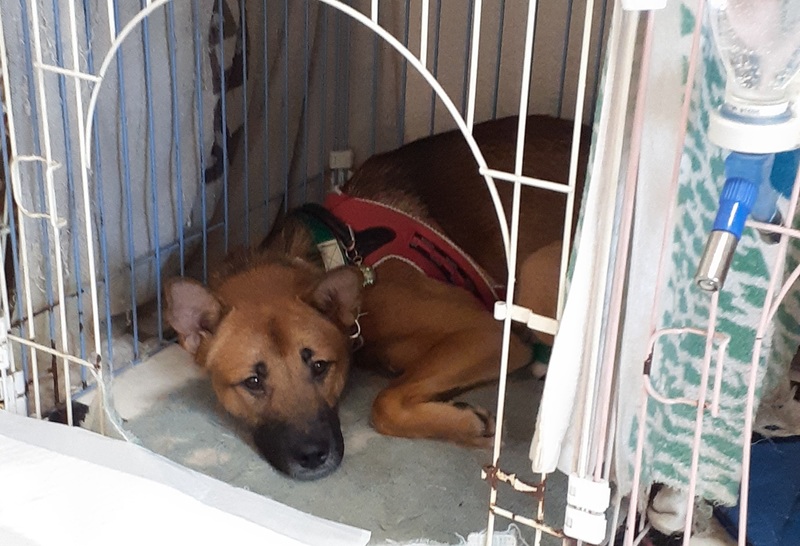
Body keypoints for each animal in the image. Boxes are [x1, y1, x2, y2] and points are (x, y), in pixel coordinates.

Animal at [165, 115, 589, 480]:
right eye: (252, 382)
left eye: (320, 366)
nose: (313, 456)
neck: (335, 255)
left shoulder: (488, 335)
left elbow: (383, 404)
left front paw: (464, 423)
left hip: (533, 273)